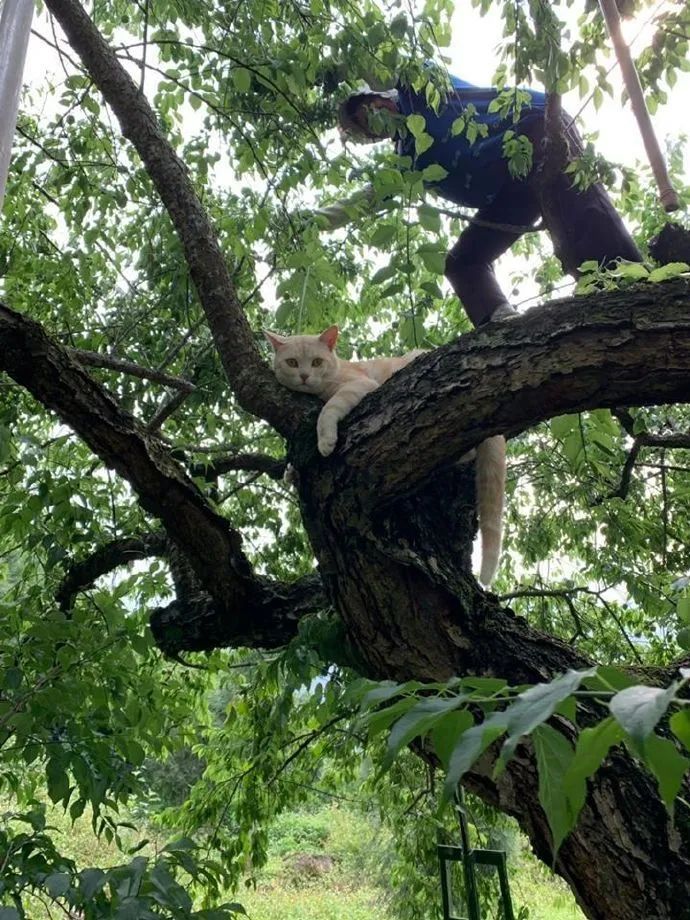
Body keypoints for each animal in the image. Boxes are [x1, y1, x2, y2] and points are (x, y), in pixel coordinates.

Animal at [264, 326, 506, 584]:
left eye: (317, 362)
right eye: (292, 362)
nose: (304, 376)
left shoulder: (360, 386)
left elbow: (328, 409)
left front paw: (326, 440)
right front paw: (291, 472)